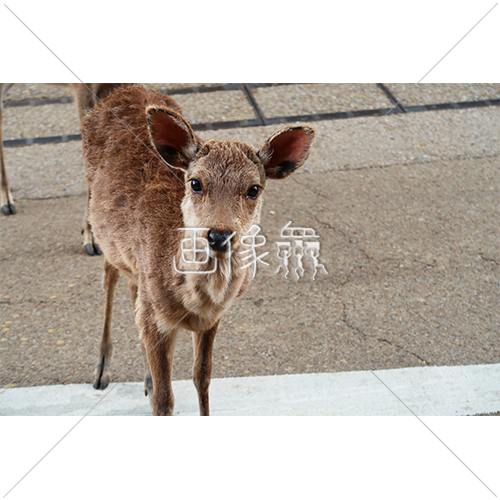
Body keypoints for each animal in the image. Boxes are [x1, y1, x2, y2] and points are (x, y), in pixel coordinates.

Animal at [83, 84, 314, 416]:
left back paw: (144, 381)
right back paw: (102, 371)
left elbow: (202, 377)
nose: (219, 235)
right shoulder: (156, 321)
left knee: (130, 288)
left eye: (253, 189)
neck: (195, 302)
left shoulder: (211, 320)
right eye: (195, 183)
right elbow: (165, 400)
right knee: (109, 276)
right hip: (101, 225)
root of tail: (125, 89)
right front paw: (154, 393)